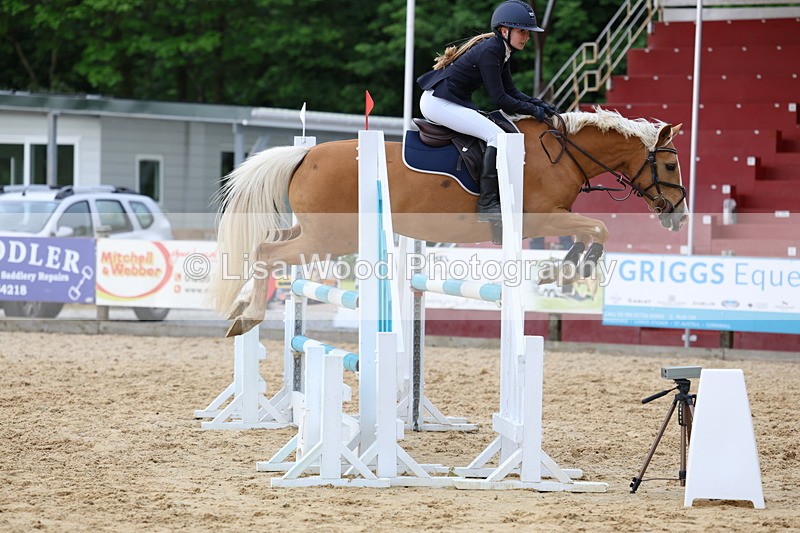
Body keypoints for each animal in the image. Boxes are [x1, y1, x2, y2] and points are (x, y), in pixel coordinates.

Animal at [211, 107, 687, 336]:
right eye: (668, 166)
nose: (679, 217)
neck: (563, 152)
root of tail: (305, 153)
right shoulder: (538, 218)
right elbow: (599, 228)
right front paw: (571, 270)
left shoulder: (552, 218)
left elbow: (586, 231)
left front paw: (564, 271)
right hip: (330, 236)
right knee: (266, 250)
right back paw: (247, 317)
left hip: (316, 231)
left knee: (269, 244)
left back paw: (239, 307)